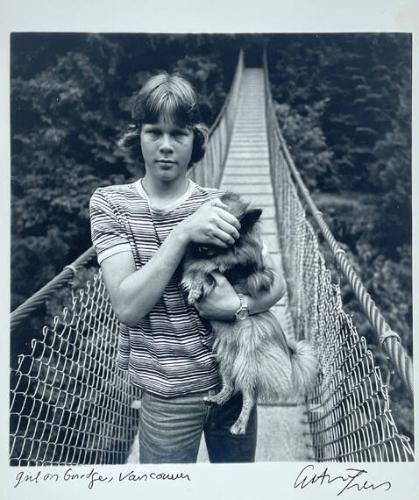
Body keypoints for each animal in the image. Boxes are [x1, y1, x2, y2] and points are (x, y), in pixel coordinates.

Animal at [181, 191, 318, 434]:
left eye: (218, 234)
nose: (199, 247)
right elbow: (198, 269)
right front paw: (194, 283)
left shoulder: (242, 277)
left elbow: (210, 272)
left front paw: (197, 287)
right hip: (226, 358)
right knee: (230, 385)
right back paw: (217, 398)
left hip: (247, 364)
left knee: (249, 396)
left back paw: (239, 425)